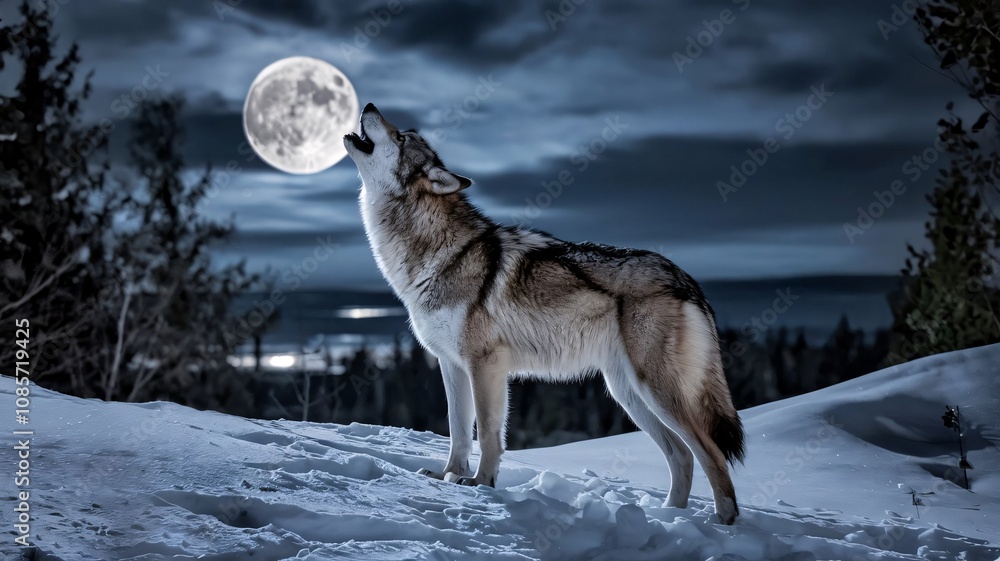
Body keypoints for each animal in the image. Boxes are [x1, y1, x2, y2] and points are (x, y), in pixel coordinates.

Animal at [344, 103, 745, 524]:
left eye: (400, 137)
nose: (368, 105)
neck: (437, 250)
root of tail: (684, 276)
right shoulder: (451, 365)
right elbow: (458, 431)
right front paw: (447, 477)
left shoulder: (486, 364)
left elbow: (488, 433)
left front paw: (480, 484)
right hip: (628, 394)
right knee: (682, 455)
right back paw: (668, 517)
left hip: (655, 390)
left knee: (712, 454)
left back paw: (722, 522)